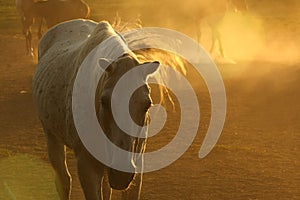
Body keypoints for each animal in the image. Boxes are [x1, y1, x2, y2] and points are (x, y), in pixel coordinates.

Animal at [32, 19, 159, 200]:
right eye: (104, 101)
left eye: (147, 104)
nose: (121, 173)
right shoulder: (87, 166)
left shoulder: (136, 165)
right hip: (51, 136)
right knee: (64, 180)